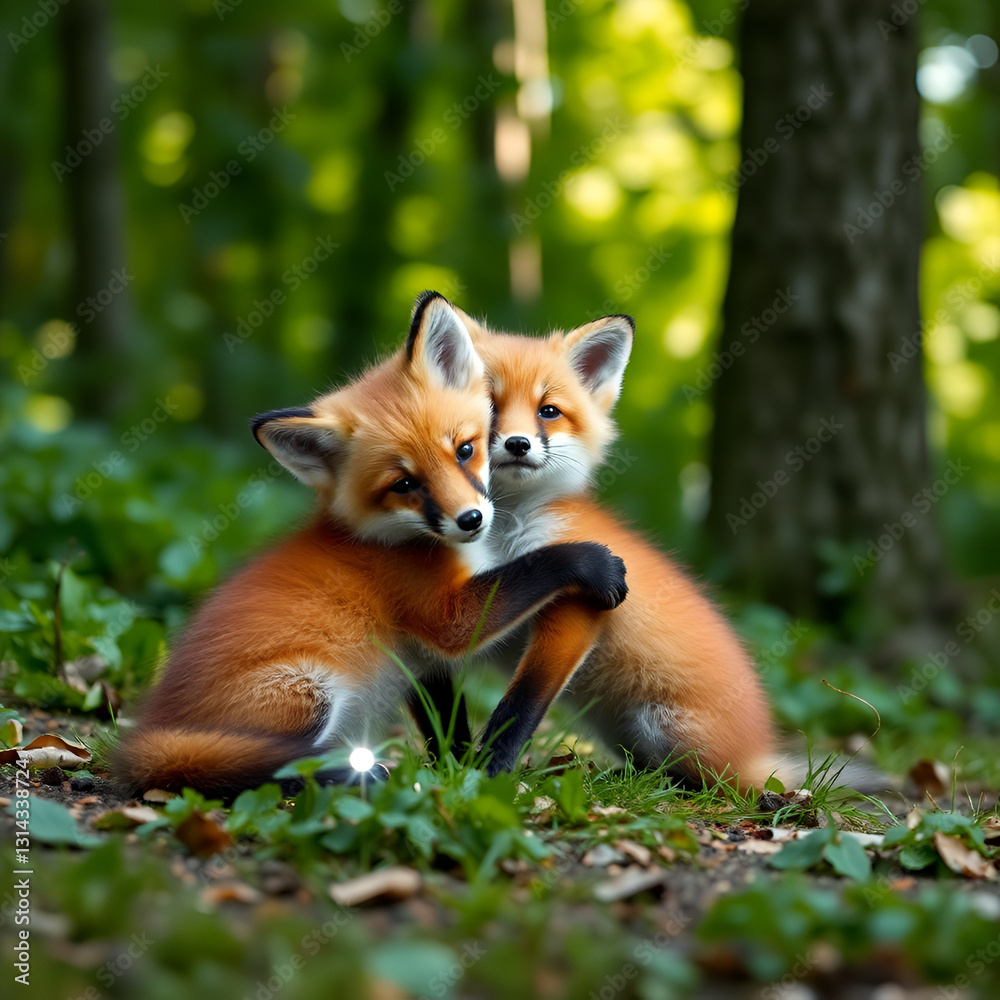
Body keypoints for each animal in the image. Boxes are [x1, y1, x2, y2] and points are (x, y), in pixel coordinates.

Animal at [113, 293, 628, 797]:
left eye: (465, 450)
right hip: (309, 692)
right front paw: (593, 563)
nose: (471, 520)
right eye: (405, 484)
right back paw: (352, 776)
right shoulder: (445, 617)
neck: (394, 539)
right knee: (251, 770)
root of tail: (150, 734)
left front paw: (458, 772)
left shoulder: (420, 657)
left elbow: (447, 725)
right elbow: (536, 567)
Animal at [416, 295, 782, 793]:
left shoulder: (582, 606)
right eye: (487, 405)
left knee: (721, 785)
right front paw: (447, 771)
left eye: (548, 411)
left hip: (666, 728)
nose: (517, 443)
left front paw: (489, 772)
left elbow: (521, 704)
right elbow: (439, 712)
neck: (505, 537)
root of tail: (762, 752)